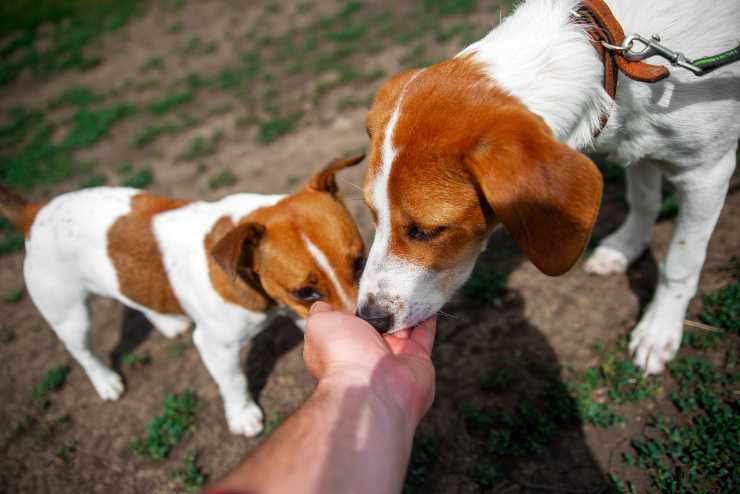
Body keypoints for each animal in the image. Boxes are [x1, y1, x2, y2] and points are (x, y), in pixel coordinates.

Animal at [0, 155, 368, 436]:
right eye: (305, 291)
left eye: (360, 261)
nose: (363, 326)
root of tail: (35, 212)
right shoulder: (217, 346)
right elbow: (233, 381)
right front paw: (242, 415)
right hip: (69, 313)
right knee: (82, 351)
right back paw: (104, 381)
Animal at [356, 0, 736, 374]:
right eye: (373, 215)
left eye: (428, 230)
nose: (370, 320)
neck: (609, 55)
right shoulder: (638, 145)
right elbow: (643, 200)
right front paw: (626, 248)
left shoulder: (707, 172)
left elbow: (680, 264)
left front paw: (658, 329)